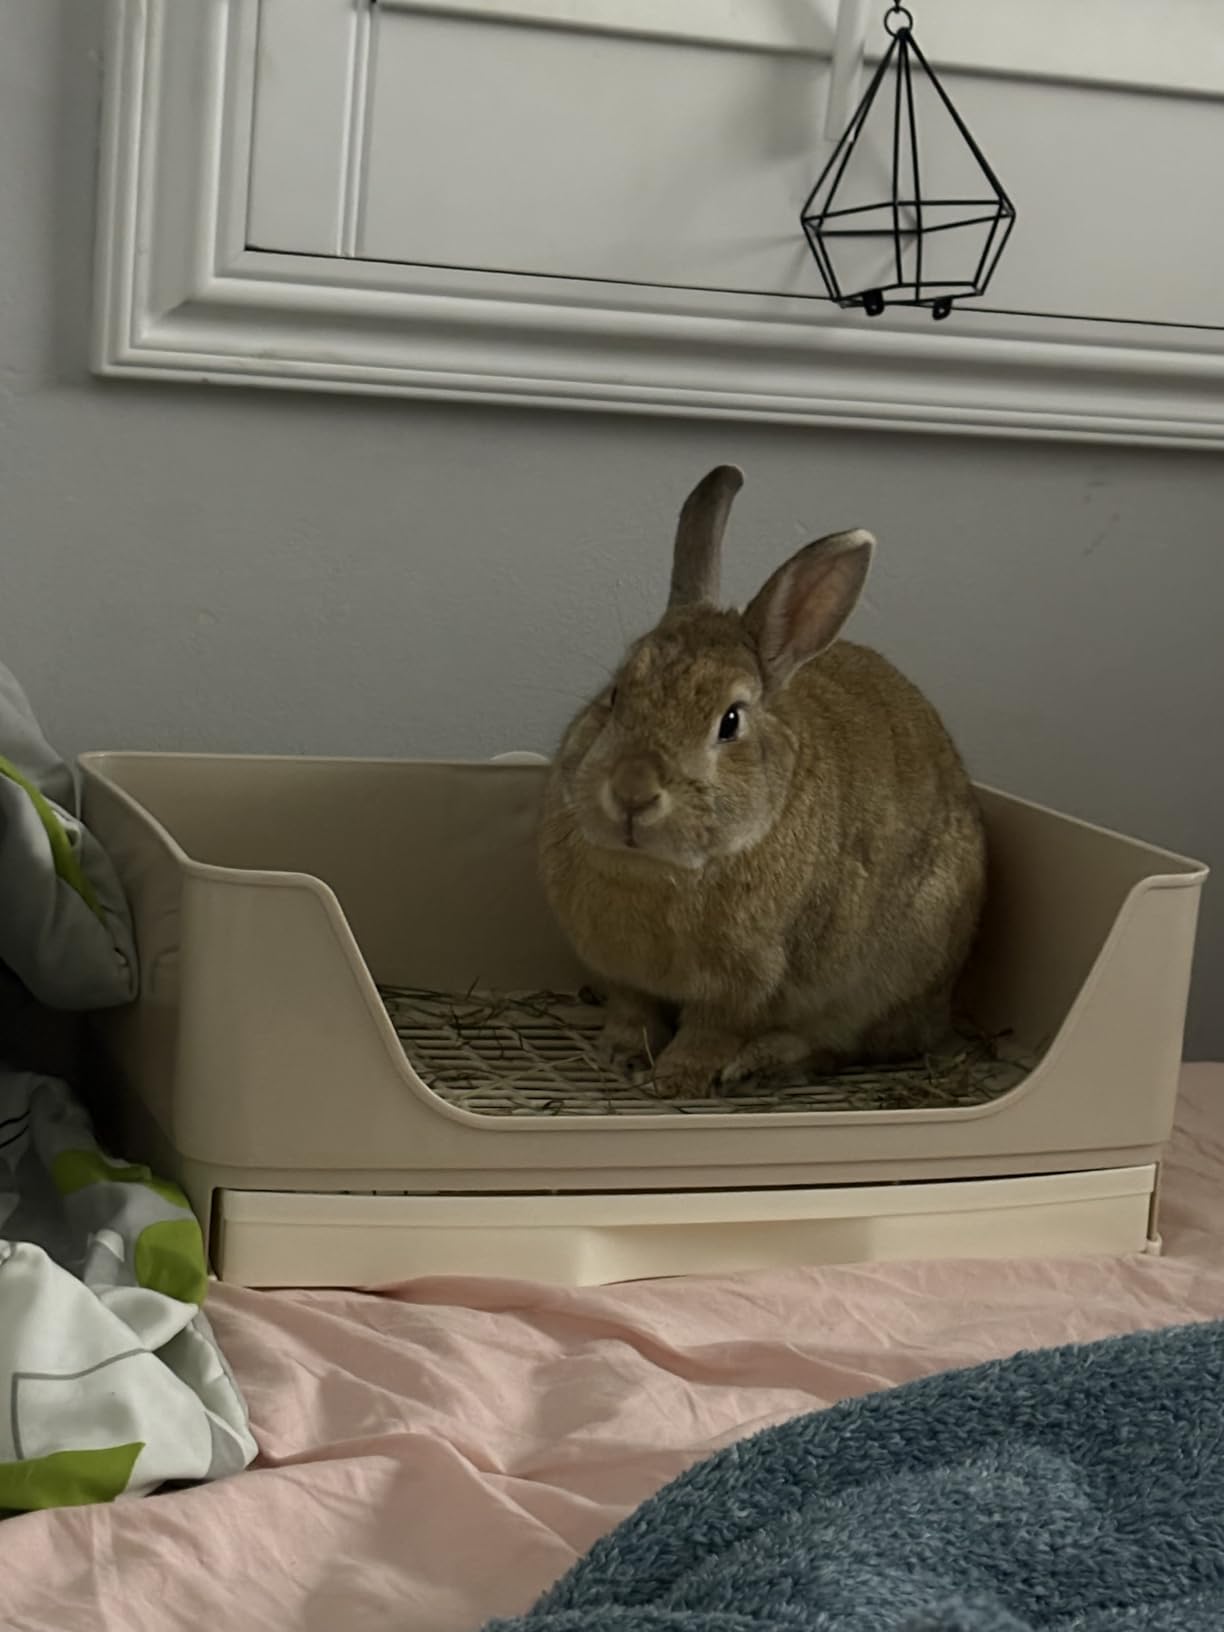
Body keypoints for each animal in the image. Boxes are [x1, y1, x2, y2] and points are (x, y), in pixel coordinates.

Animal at [538, 465, 986, 1100]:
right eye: (617, 694)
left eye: (730, 721)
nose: (632, 792)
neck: (659, 871)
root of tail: (941, 1014)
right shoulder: (621, 974)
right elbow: (633, 1012)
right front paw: (623, 1055)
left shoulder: (746, 987)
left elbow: (711, 1032)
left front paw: (675, 1081)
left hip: (882, 985)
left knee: (836, 1046)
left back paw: (758, 1064)